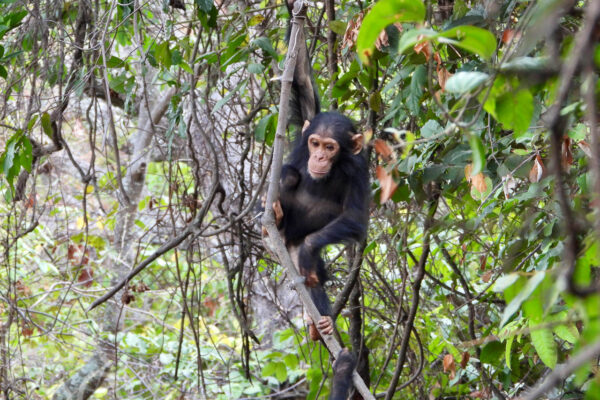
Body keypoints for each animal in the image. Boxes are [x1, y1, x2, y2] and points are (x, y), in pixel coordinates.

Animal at [276, 0, 370, 340]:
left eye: (331, 148)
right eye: (315, 143)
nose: (317, 157)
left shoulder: (360, 170)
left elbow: (353, 216)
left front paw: (309, 249)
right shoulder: (309, 118)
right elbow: (301, 78)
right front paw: (298, 16)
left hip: (293, 254)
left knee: (310, 271)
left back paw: (322, 324)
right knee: (288, 175)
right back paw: (272, 217)